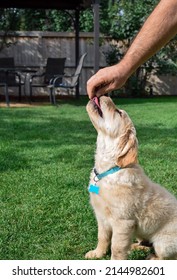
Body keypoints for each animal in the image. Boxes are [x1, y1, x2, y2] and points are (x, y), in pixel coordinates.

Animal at [85, 96, 177, 260]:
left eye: (118, 112)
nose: (104, 95)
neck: (109, 170)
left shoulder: (123, 222)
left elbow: (116, 248)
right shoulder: (101, 216)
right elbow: (102, 237)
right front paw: (97, 253)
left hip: (164, 243)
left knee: (164, 256)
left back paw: (151, 258)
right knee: (145, 244)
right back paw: (135, 247)